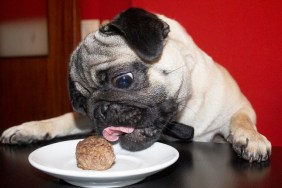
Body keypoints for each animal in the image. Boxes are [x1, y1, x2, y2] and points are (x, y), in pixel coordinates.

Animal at [1, 8, 272, 162]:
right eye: (83, 104)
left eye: (123, 80)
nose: (101, 110)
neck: (182, 118)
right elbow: (64, 118)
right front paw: (30, 128)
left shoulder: (239, 107)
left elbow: (241, 120)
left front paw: (251, 138)